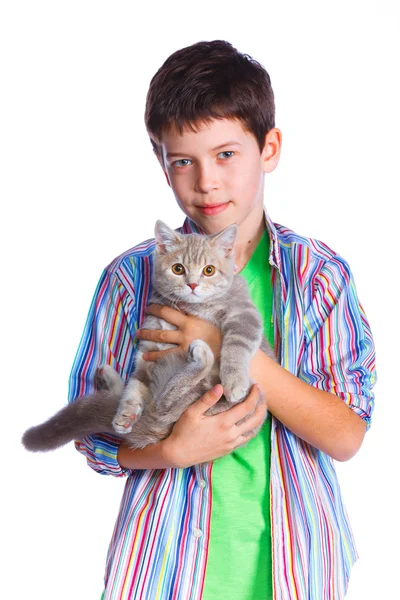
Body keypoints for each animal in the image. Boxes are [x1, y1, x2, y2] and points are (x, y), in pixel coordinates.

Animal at [21, 221, 276, 454]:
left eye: (209, 270)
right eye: (178, 269)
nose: (192, 284)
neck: (191, 307)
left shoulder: (243, 312)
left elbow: (238, 344)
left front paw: (234, 381)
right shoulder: (147, 348)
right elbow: (136, 384)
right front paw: (126, 412)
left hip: (208, 391)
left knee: (166, 402)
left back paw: (202, 356)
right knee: (159, 402)